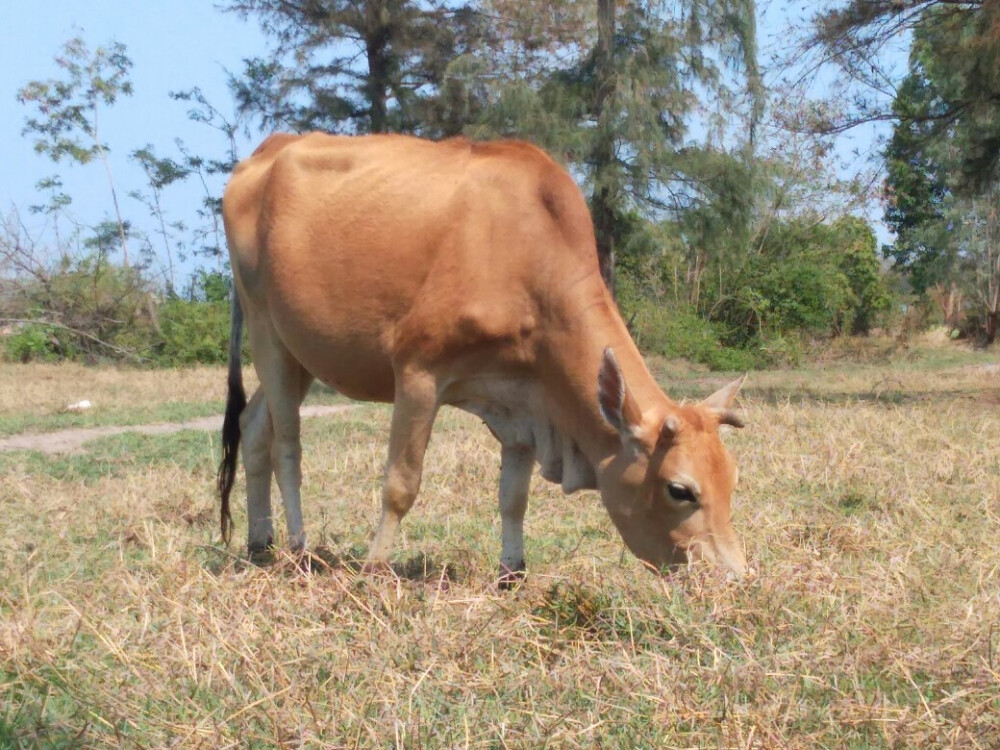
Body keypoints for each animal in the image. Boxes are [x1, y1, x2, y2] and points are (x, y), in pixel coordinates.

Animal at [219, 134, 752, 580]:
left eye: (732, 480)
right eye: (680, 490)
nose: (733, 577)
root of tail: (268, 148)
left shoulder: (525, 399)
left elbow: (513, 497)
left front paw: (512, 572)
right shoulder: (418, 372)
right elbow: (401, 485)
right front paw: (373, 569)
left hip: (300, 353)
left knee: (253, 426)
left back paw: (260, 542)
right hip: (266, 329)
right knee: (287, 445)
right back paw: (298, 547)